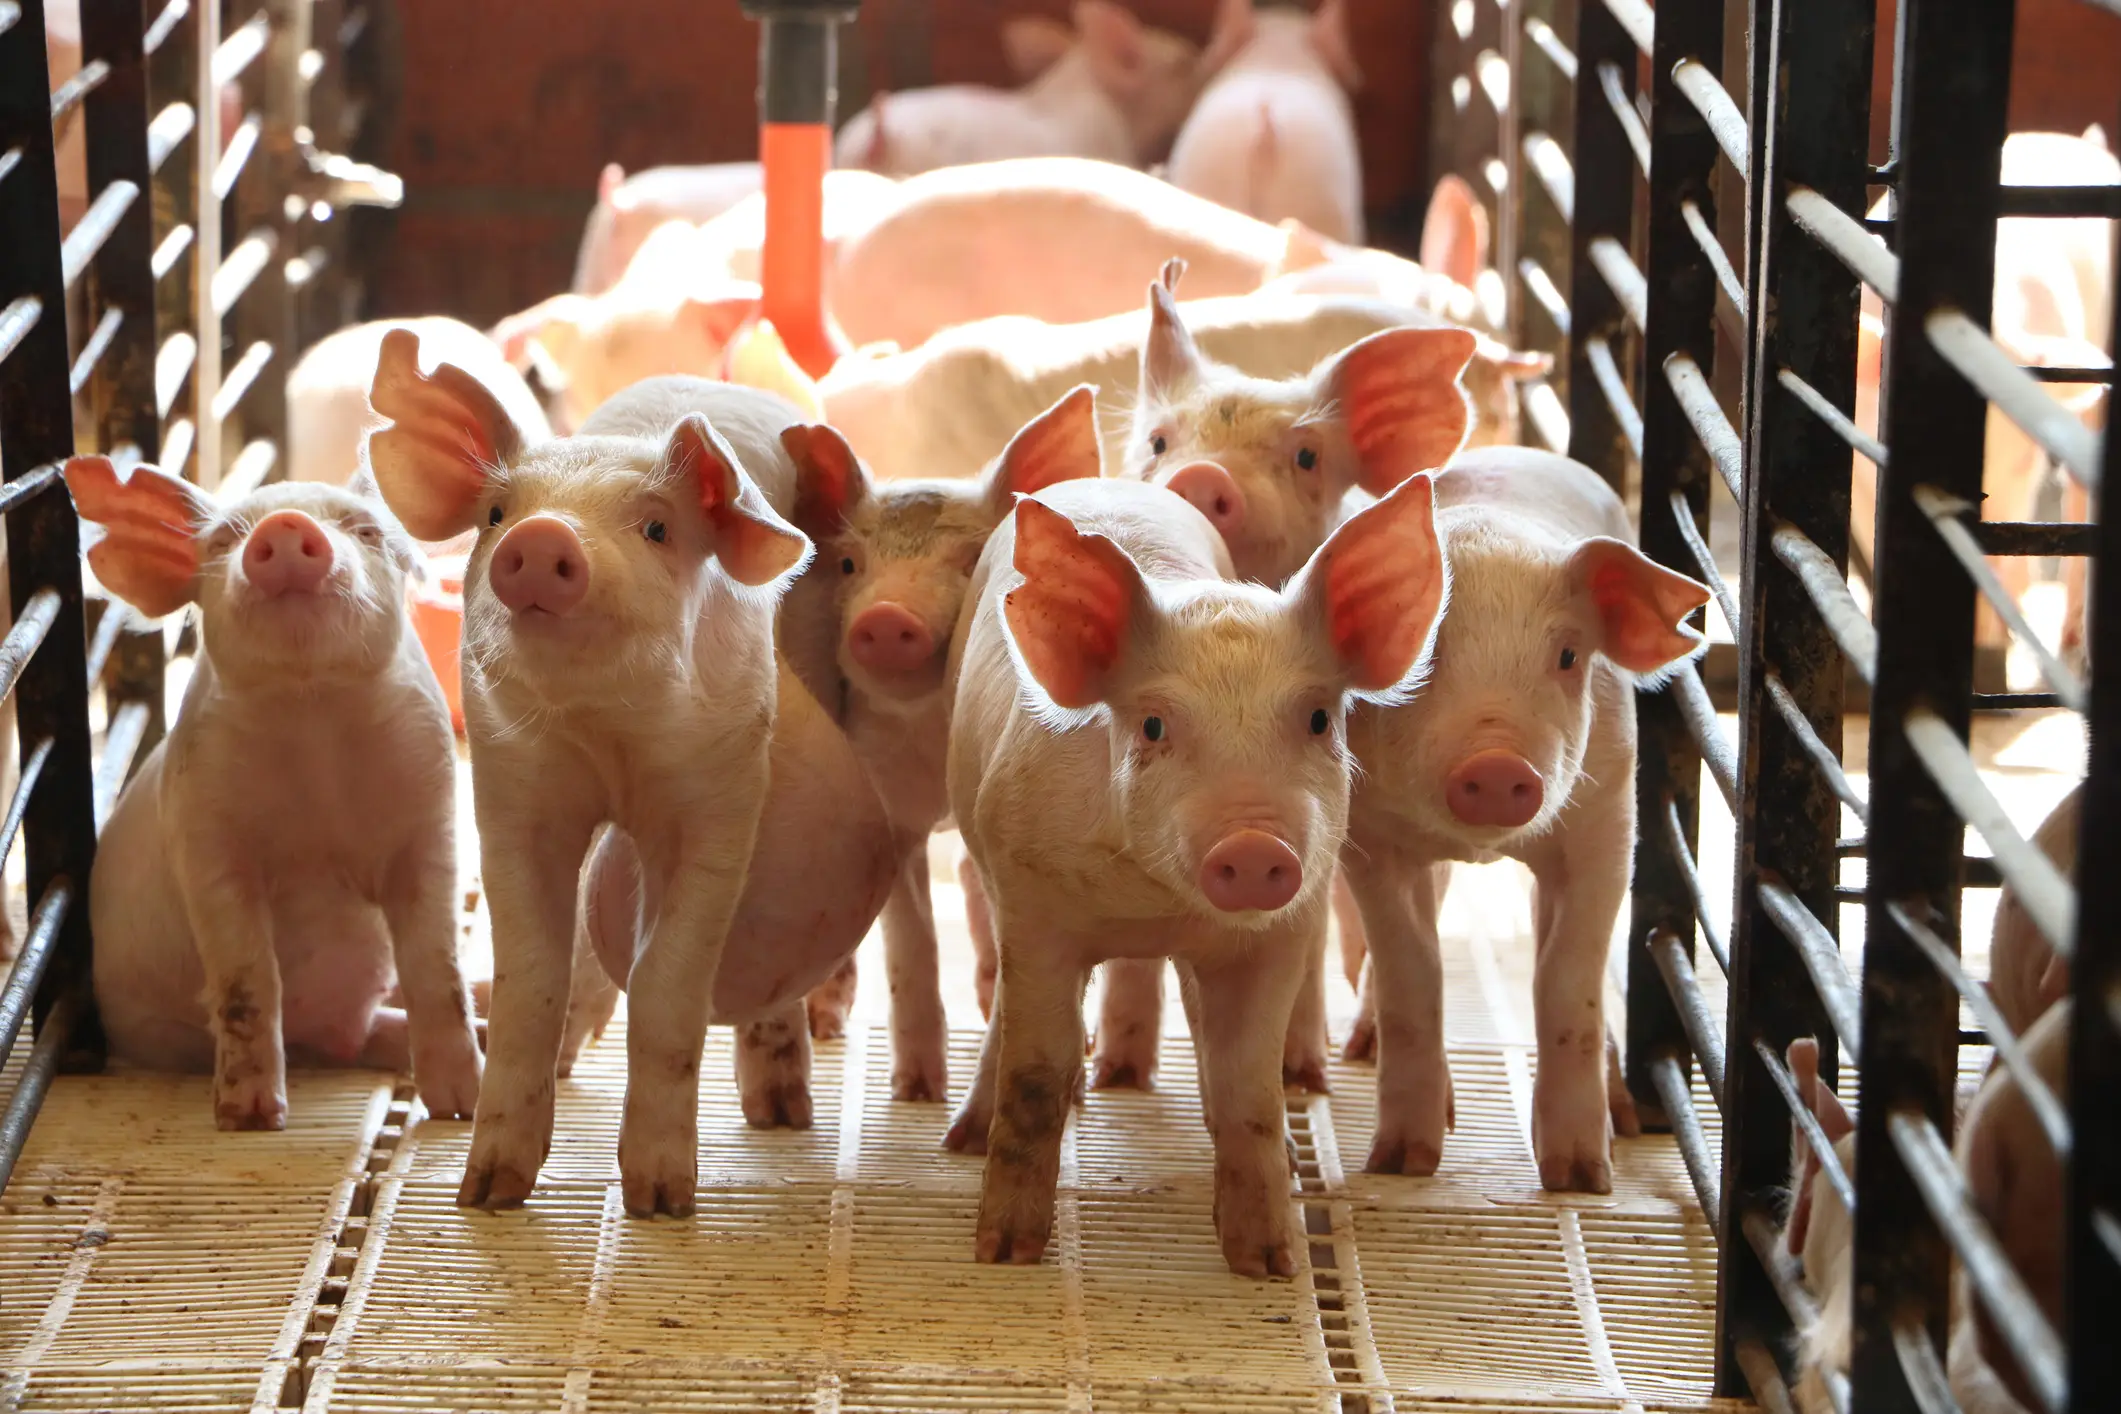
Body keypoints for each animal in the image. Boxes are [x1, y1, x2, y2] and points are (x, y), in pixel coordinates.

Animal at [67, 456, 482, 1128]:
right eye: (224, 540)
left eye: (364, 530)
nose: (286, 525)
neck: (310, 714)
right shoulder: (205, 837)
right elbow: (247, 978)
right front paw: (250, 1120)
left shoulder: (431, 817)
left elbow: (436, 963)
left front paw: (460, 1109)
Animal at [366, 335, 895, 1213]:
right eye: (496, 515)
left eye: (655, 527)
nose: (543, 538)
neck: (608, 737)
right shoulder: (513, 793)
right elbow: (531, 980)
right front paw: (486, 1193)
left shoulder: (720, 799)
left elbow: (665, 987)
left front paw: (662, 1201)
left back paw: (782, 1116)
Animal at [777, 388, 1106, 1098]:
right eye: (850, 563)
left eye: (970, 560)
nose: (884, 619)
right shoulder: (890, 807)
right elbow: (912, 939)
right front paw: (917, 1091)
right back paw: (827, 1024)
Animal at [944, 469, 1450, 1276]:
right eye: (1153, 725)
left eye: (1318, 719)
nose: (1253, 846)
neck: (1152, 907)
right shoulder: (1032, 905)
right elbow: (1038, 1076)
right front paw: (1003, 1255)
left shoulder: (1280, 932)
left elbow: (1252, 1091)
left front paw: (1268, 1264)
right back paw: (963, 1137)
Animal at [1340, 448, 1711, 1190]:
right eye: (1423, 653)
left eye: (1566, 655)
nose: (1496, 764)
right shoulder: (1369, 838)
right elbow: (1411, 972)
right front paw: (1400, 1165)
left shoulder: (1607, 821)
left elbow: (1565, 978)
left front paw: (1581, 1178)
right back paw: (1360, 1050)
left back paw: (1622, 1114)